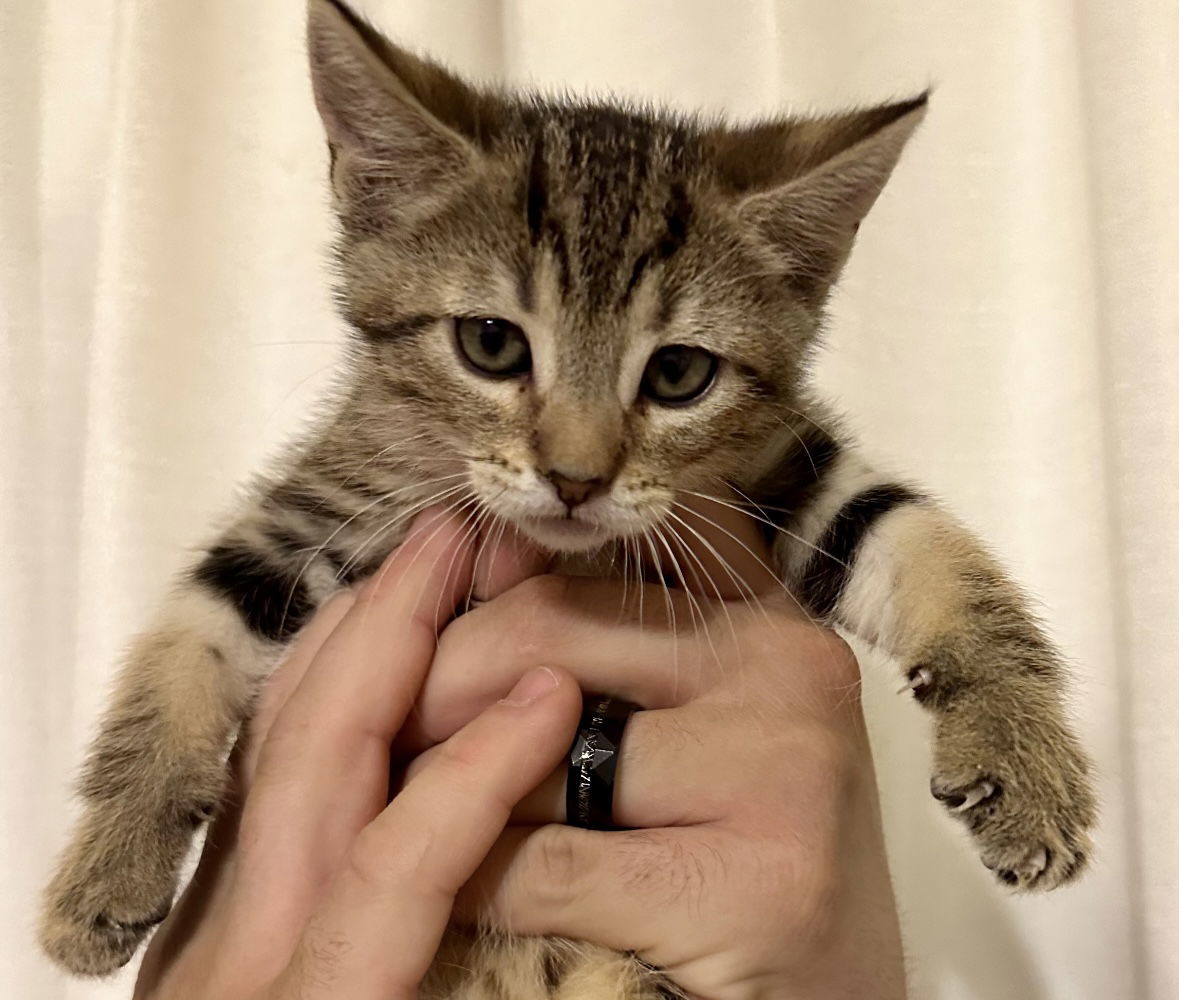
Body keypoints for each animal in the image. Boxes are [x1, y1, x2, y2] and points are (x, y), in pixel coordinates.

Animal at [41, 0, 1098, 990]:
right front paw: (105, 871)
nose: (576, 477)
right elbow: (190, 634)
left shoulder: (784, 467)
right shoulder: (328, 496)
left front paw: (1023, 756)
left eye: (678, 373)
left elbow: (920, 542)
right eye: (490, 344)